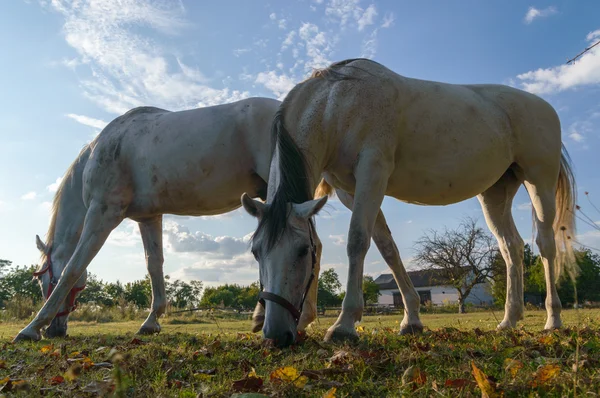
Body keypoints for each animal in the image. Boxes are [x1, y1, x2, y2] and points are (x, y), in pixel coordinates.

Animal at [241, 57, 580, 346]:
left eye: (302, 251)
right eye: (256, 252)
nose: (275, 335)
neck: (337, 103)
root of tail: (544, 107)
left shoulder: (372, 174)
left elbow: (357, 241)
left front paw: (344, 325)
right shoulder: (352, 191)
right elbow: (387, 249)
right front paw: (412, 320)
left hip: (539, 183)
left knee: (546, 246)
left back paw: (553, 320)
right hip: (495, 193)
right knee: (511, 248)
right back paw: (509, 320)